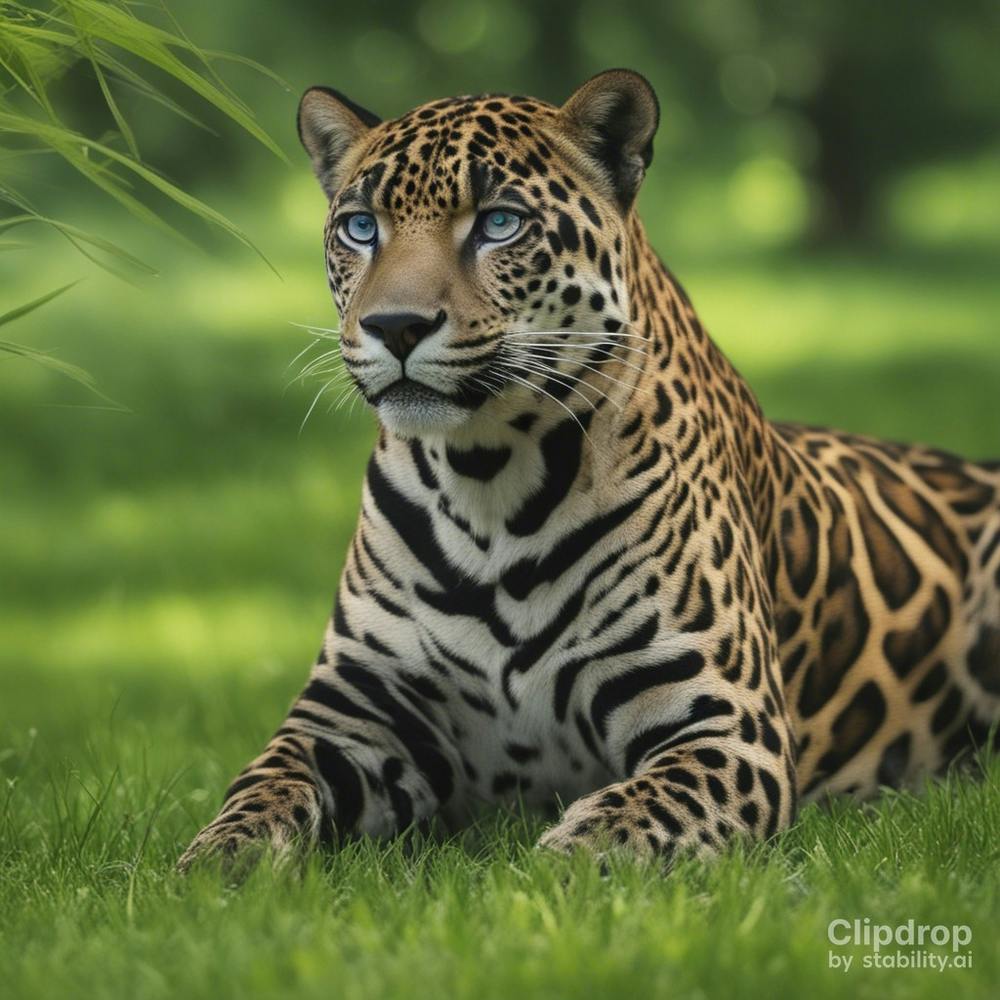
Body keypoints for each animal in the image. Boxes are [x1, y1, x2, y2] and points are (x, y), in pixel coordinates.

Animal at [178, 69, 1000, 871]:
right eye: (361, 227)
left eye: (498, 223)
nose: (395, 326)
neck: (488, 481)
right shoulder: (350, 713)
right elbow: (266, 780)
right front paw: (219, 857)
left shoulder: (726, 726)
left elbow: (629, 819)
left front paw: (551, 867)